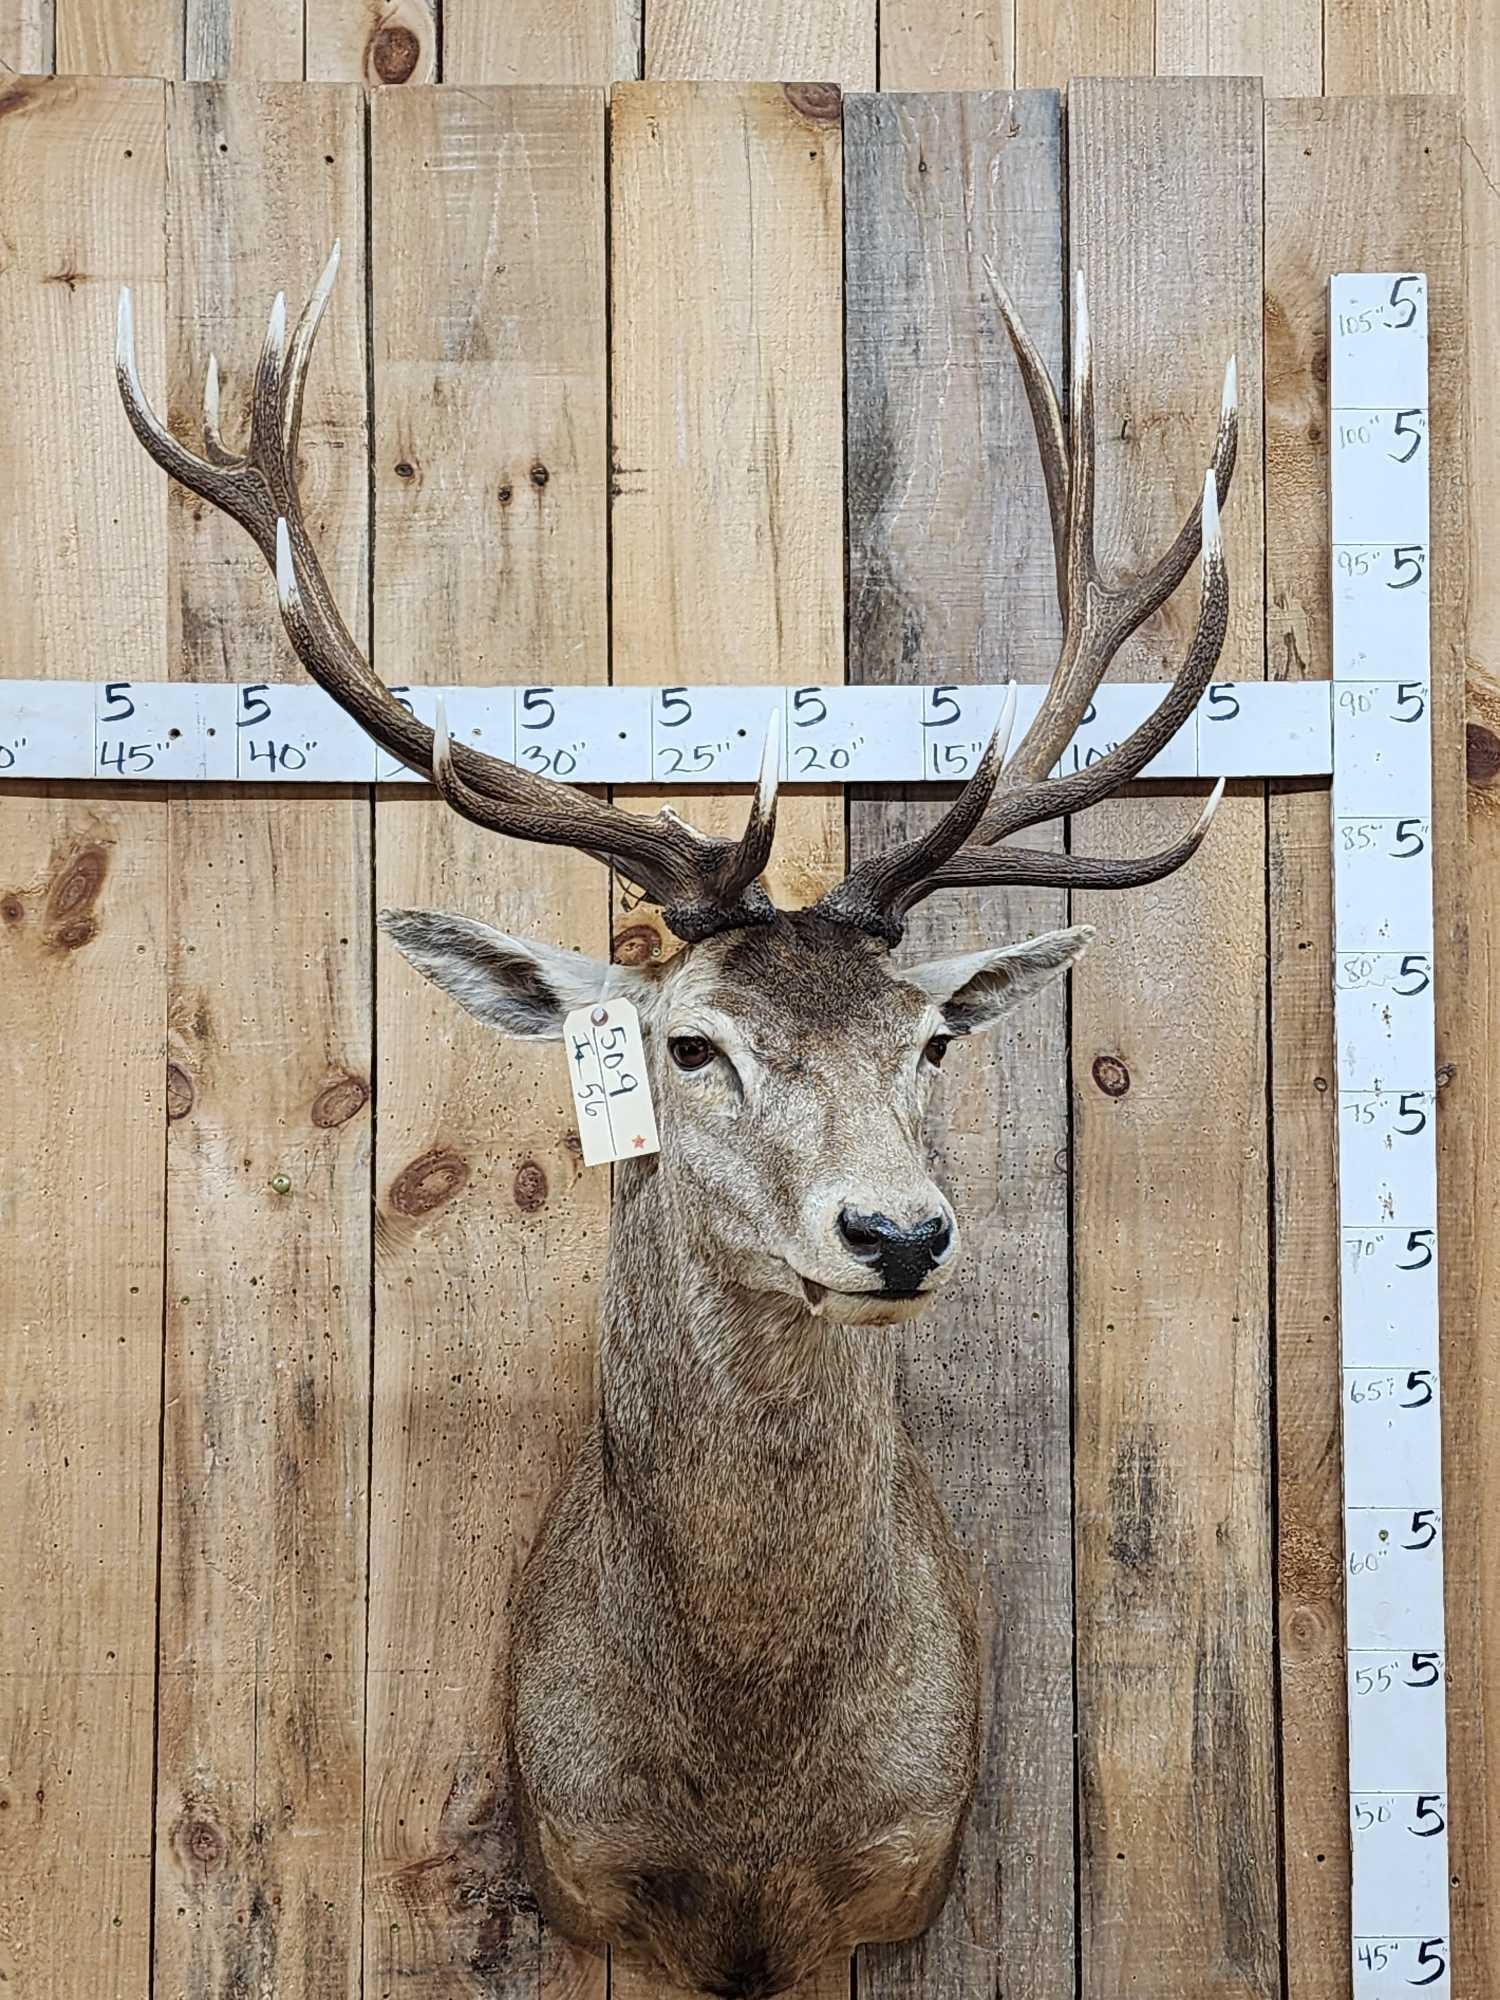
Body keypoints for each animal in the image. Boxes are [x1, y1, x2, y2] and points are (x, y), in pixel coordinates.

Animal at [116, 246, 1235, 2000]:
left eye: (928, 1040)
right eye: (692, 1044)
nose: (896, 1231)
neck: (750, 1794)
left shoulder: (903, 1874)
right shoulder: (584, 1873)